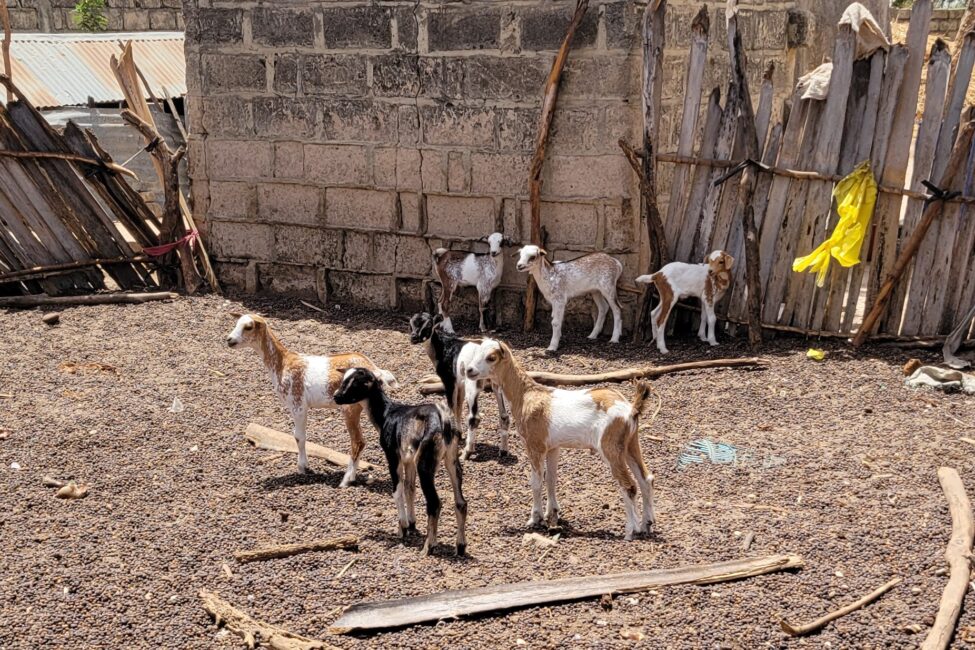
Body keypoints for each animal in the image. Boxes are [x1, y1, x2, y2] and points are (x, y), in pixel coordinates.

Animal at [226, 314, 397, 486]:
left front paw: (303, 467)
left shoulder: (298, 404)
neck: (282, 363)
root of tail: (376, 371)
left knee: (358, 441)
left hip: (350, 407)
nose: (229, 340)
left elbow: (299, 436)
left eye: (248, 327)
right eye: (236, 323)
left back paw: (347, 480)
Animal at [334, 368, 467, 556]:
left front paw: (402, 527)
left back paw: (428, 546)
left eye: (357, 383)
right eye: (344, 380)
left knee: (434, 503)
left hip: (425, 463)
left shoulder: (393, 455)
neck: (387, 414)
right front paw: (411, 524)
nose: (337, 397)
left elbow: (397, 491)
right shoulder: (408, 460)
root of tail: (443, 420)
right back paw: (460, 547)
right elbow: (409, 488)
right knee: (461, 502)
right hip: (451, 458)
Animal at [409, 312, 510, 460]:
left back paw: (467, 452)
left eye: (428, 325)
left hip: (473, 384)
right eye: (411, 323)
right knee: (504, 416)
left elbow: (451, 405)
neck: (443, 348)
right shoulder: (459, 383)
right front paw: (459, 432)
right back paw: (503, 450)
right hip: (497, 384)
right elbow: (458, 405)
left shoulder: (449, 380)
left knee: (474, 417)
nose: (414, 338)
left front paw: (452, 434)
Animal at [465, 340, 655, 540]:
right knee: (646, 479)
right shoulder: (553, 448)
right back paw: (647, 524)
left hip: (610, 448)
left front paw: (535, 518)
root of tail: (630, 409)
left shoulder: (535, 446)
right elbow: (551, 479)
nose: (469, 370)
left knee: (629, 486)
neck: (526, 395)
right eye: (477, 352)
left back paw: (630, 531)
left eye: (491, 357)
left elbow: (536, 482)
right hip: (630, 444)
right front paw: (553, 513)